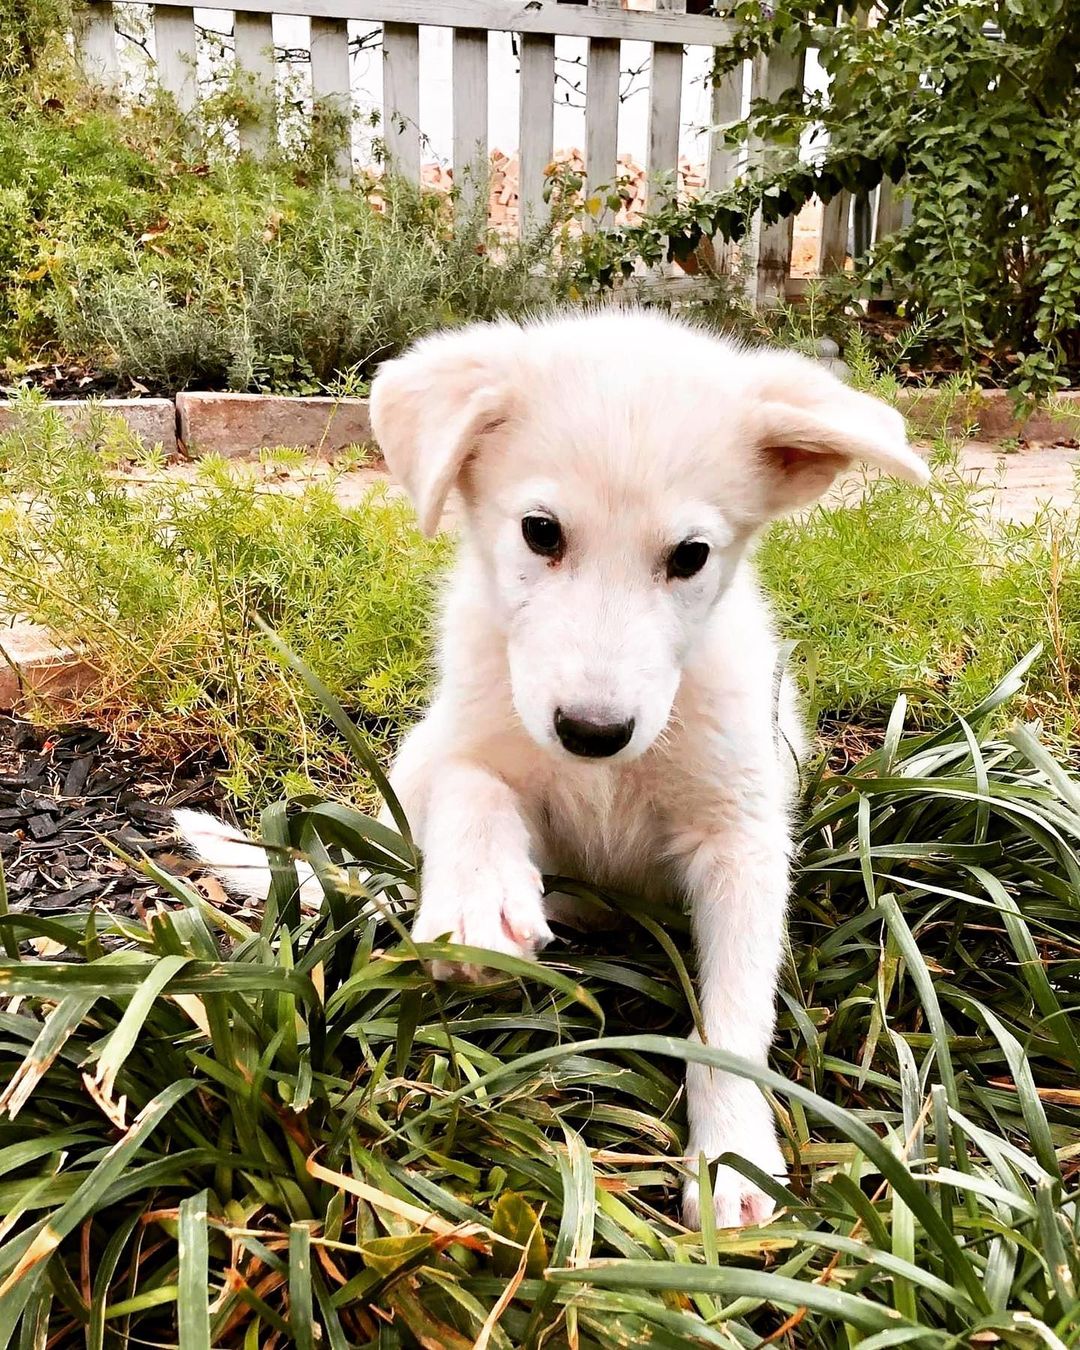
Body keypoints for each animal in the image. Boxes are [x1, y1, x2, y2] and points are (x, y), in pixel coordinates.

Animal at [179, 313, 928, 1225]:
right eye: (541, 532)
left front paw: (732, 1158)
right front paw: (478, 902)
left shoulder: (741, 838)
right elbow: (474, 786)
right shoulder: (464, 738)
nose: (592, 732)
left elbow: (732, 1017)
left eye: (690, 555)